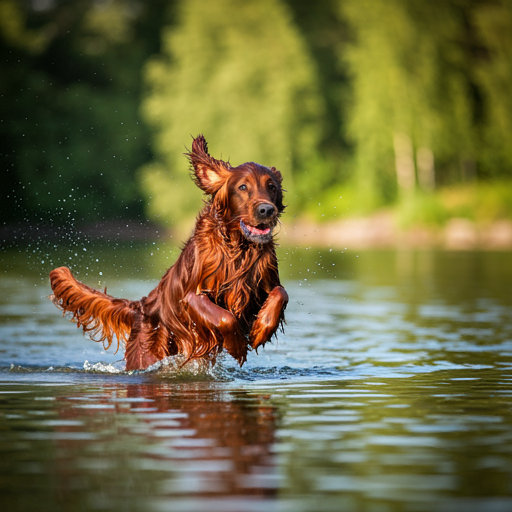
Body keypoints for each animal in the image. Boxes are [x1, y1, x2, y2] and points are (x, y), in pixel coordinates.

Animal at [49, 134, 288, 370]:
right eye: (243, 187)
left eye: (272, 187)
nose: (267, 210)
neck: (239, 248)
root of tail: (141, 307)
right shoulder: (191, 296)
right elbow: (224, 317)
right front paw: (237, 345)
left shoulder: (263, 284)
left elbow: (280, 293)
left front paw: (260, 331)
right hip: (146, 354)